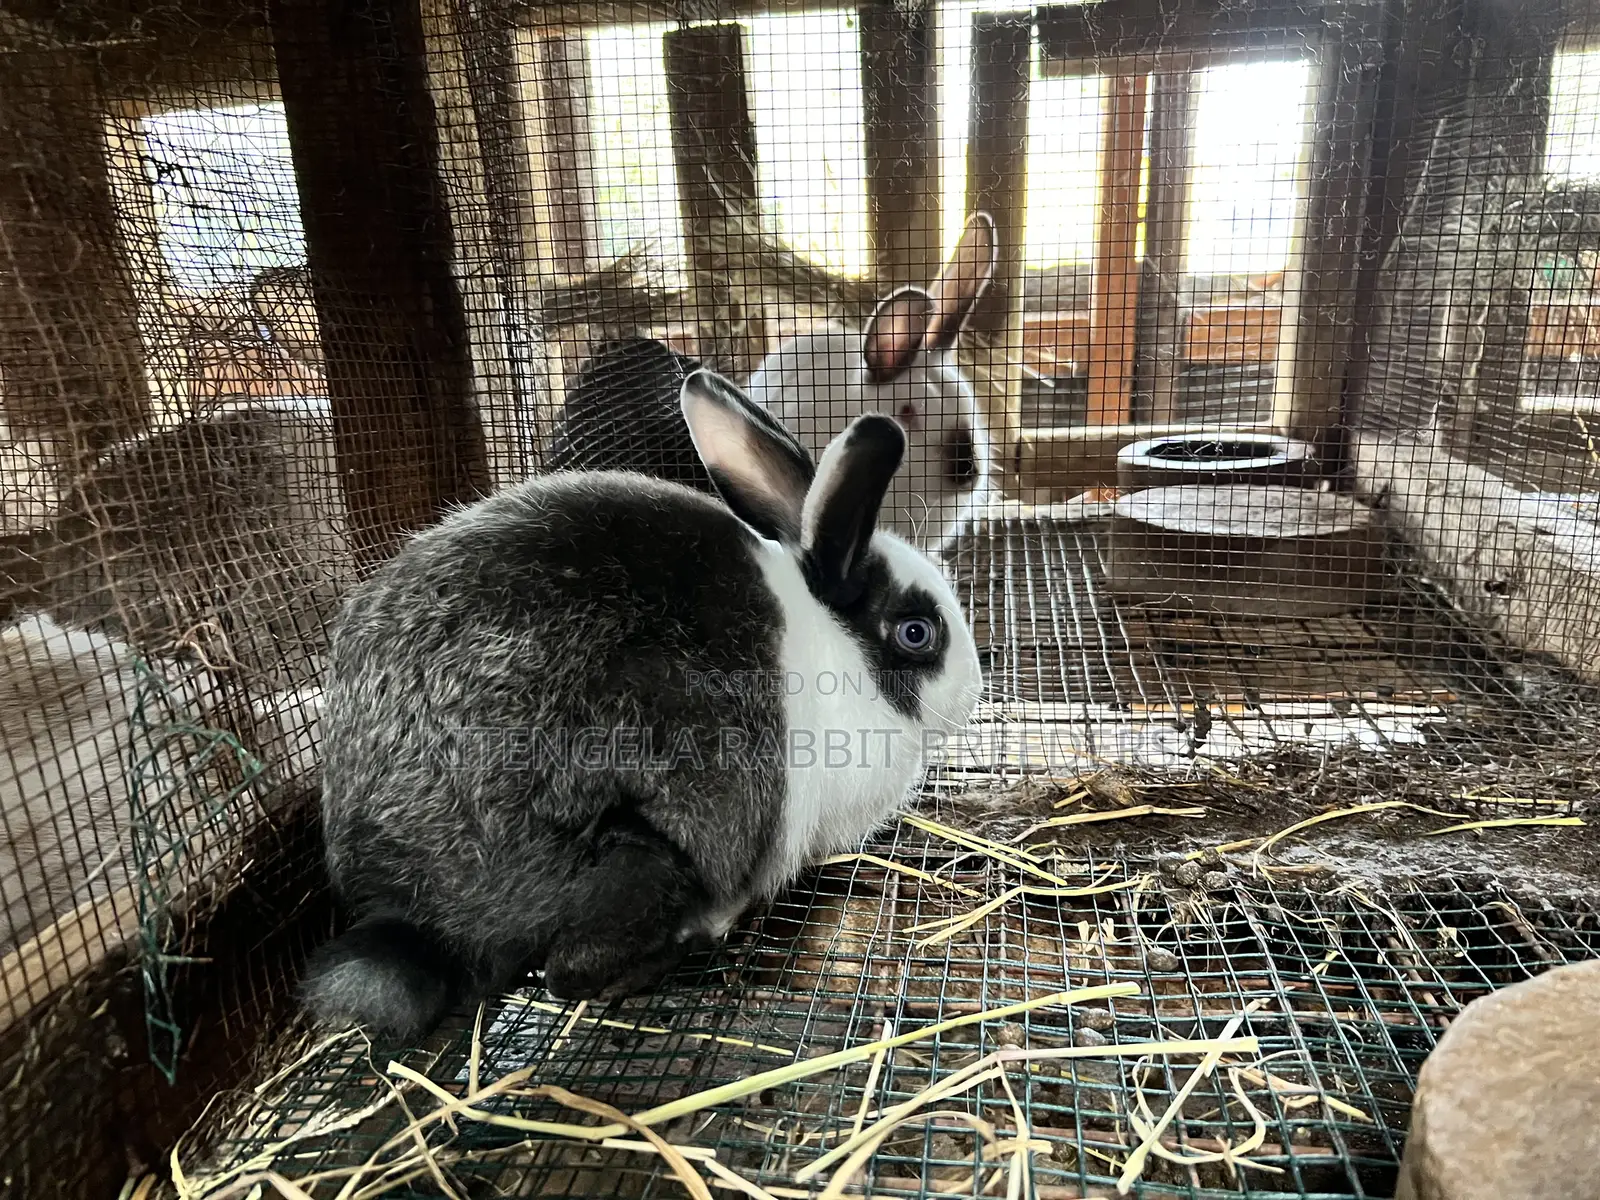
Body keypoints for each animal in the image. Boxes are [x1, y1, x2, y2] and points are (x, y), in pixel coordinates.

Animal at [300, 366, 983, 1040]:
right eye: (917, 632)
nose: (975, 690)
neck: (836, 646)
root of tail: (407, 907)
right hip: (655, 825)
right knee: (570, 966)